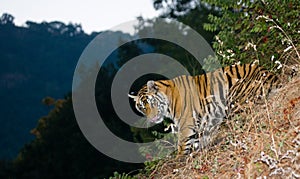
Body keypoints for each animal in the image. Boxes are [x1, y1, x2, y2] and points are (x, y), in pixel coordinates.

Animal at [129, 62, 282, 155]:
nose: (152, 118)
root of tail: (275, 78)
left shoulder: (186, 125)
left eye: (151, 103)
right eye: (142, 107)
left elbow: (182, 146)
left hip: (233, 99)